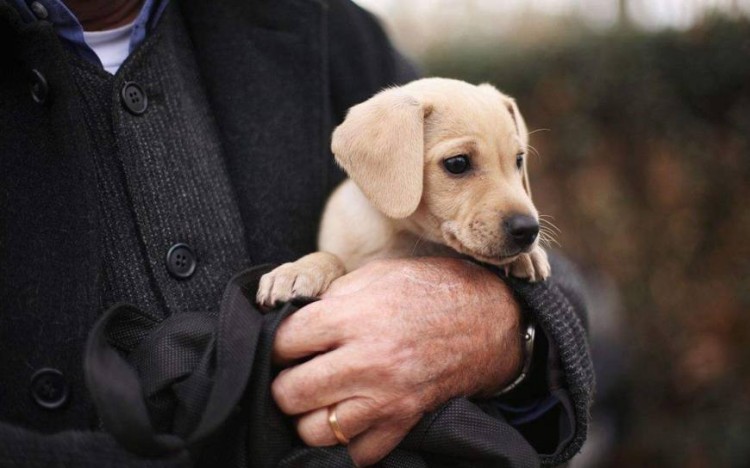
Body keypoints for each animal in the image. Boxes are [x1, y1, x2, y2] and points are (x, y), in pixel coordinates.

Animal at [258, 79, 552, 308]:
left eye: (518, 160)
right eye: (457, 163)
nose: (528, 230)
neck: (408, 239)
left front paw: (529, 256)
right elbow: (332, 257)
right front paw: (298, 270)